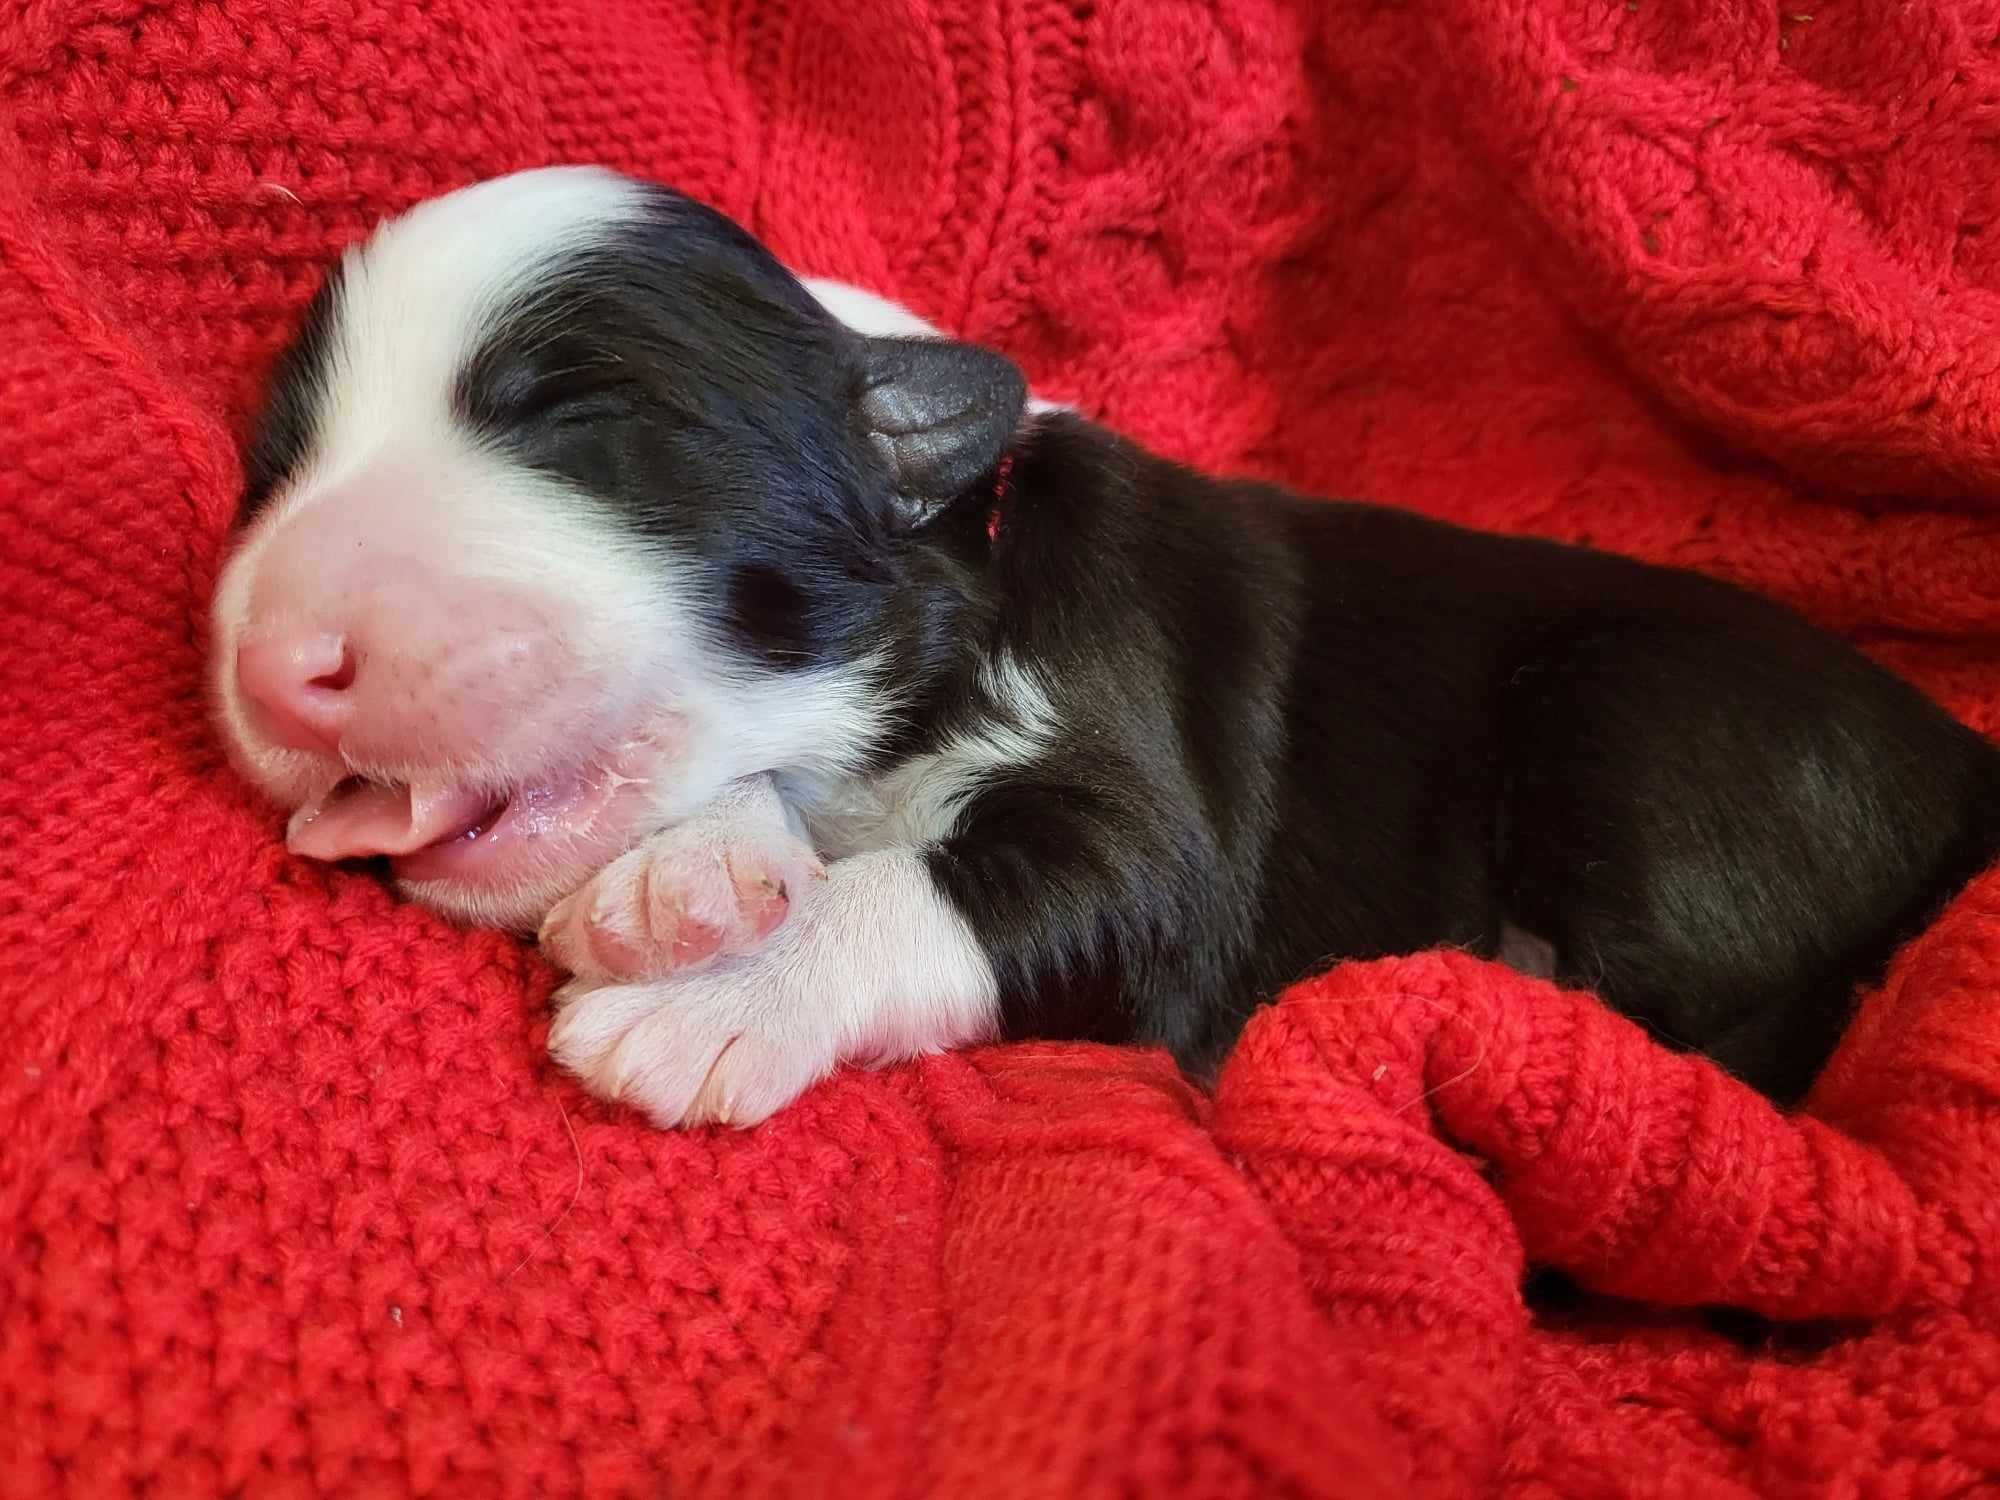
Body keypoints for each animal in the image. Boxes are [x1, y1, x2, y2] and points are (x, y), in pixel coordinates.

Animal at [211, 164, 2000, 1128]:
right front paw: (695, 880)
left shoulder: (1154, 810)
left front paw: (723, 990)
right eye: (271, 462)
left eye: (578, 422)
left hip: (1646, 719)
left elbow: (966, 884)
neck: (962, 563)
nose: (271, 660)